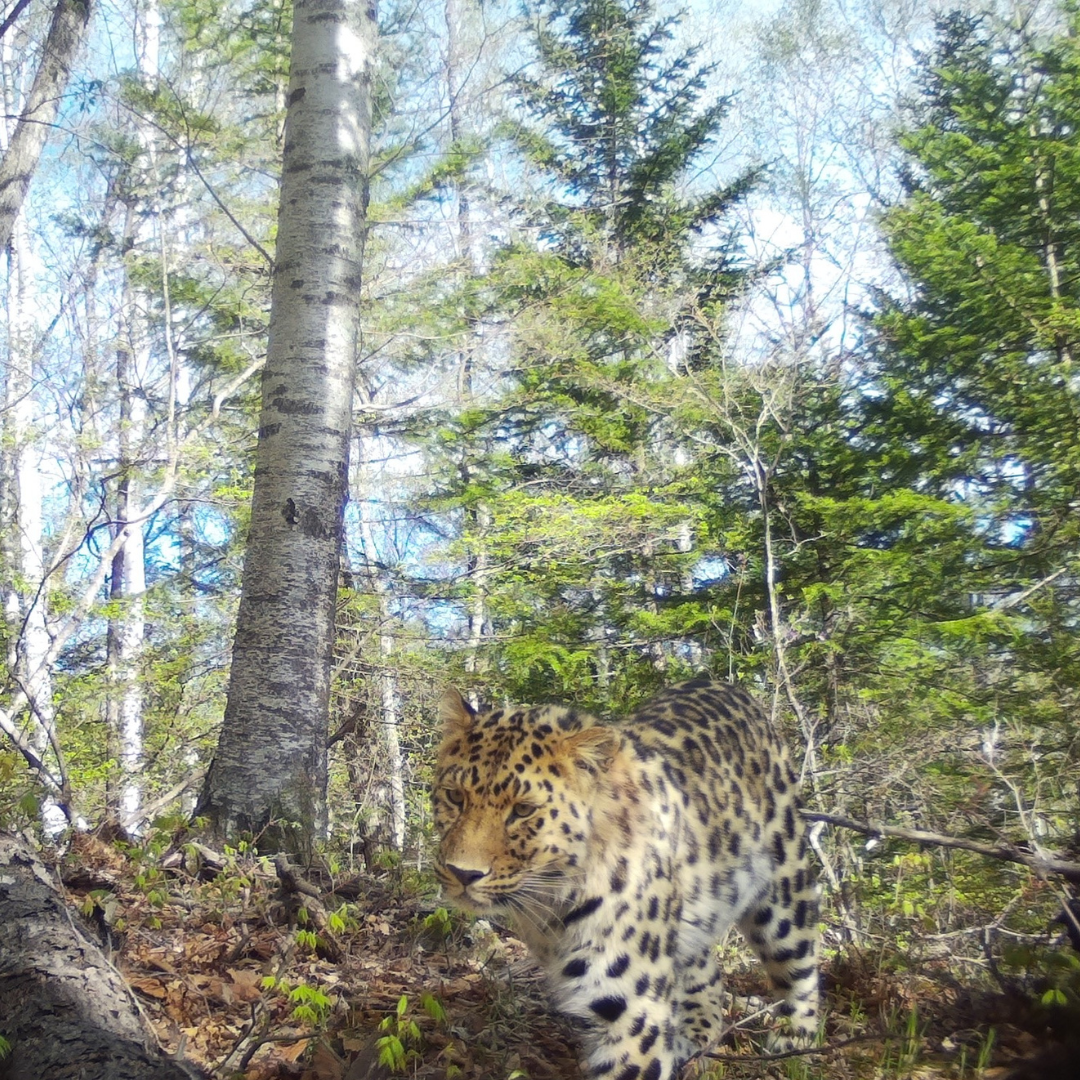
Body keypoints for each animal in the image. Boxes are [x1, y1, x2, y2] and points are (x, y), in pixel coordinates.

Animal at [431, 676, 820, 1080]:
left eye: (523, 810)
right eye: (454, 796)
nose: (463, 872)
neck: (551, 900)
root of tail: (719, 683)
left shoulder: (632, 1010)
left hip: (783, 890)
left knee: (801, 965)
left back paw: (794, 1044)